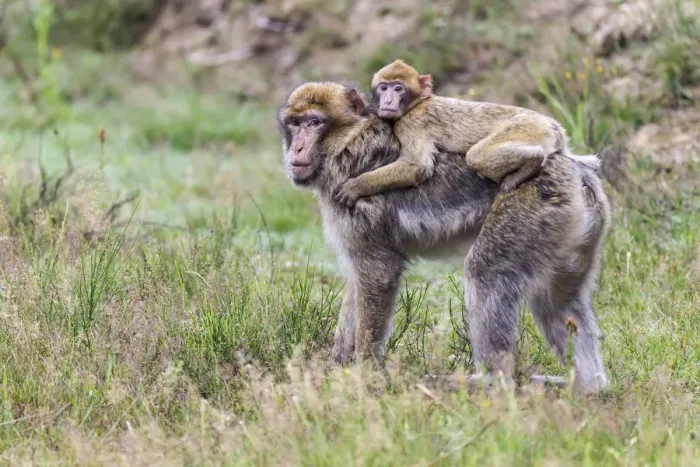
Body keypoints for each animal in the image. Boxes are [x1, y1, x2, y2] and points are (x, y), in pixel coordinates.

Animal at [278, 81, 610, 394]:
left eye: (314, 122)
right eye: (295, 123)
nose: (296, 150)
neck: (347, 144)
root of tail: (577, 169)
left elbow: (378, 274)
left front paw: (364, 376)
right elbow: (357, 282)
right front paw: (337, 368)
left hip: (530, 208)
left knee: (486, 274)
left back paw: (491, 382)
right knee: (557, 301)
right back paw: (589, 388)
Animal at [332, 59, 600, 208]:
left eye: (398, 88)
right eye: (383, 87)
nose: (387, 100)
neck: (416, 104)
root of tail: (553, 126)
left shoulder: (410, 124)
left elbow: (417, 167)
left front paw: (356, 186)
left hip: (526, 128)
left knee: (477, 156)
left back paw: (531, 162)